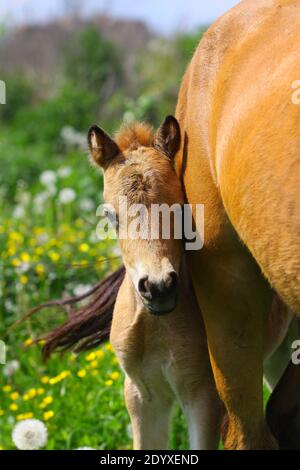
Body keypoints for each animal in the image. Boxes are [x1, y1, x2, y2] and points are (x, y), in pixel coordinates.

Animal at [88, 116, 221, 448]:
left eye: (180, 206)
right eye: (110, 217)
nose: (158, 287)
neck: (156, 327)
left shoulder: (202, 393)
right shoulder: (141, 395)